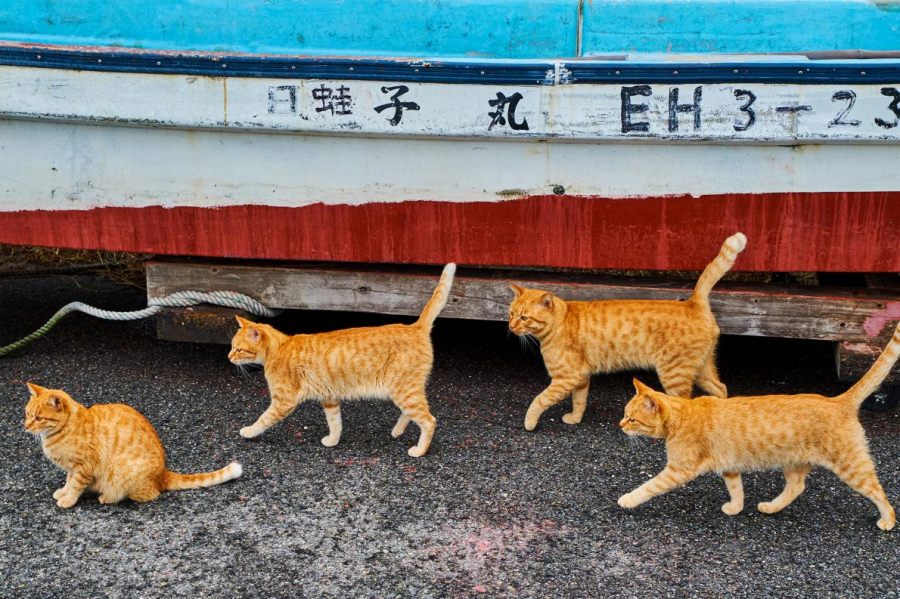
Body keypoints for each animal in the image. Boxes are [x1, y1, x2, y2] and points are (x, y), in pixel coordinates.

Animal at [23, 386, 243, 508]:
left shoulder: (83, 467)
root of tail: (163, 474)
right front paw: (63, 492)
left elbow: (75, 485)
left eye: (38, 418)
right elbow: (68, 481)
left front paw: (68, 500)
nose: (25, 426)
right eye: (27, 413)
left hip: (124, 474)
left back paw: (108, 497)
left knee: (149, 495)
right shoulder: (71, 467)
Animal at [230, 264, 458, 460]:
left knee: (429, 420)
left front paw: (248, 431)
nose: (229, 357)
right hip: (404, 390)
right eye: (232, 346)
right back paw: (397, 431)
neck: (280, 348)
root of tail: (414, 327)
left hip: (404, 389)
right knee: (411, 413)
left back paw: (419, 450)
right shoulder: (329, 398)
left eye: (238, 349)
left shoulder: (283, 401)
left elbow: (263, 419)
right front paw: (333, 440)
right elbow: (335, 422)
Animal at [506, 232, 744, 434]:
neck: (559, 323)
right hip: (701, 369)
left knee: (684, 402)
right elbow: (579, 400)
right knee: (721, 388)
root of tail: (693, 303)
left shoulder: (566, 377)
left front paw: (529, 422)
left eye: (524, 318)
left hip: (674, 374)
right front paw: (575, 418)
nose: (510, 327)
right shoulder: (580, 377)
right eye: (511, 313)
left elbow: (539, 400)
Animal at [620, 326, 900, 532]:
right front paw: (735, 508)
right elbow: (736, 489)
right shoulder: (729, 465)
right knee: (796, 487)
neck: (683, 414)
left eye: (632, 419)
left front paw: (627, 500)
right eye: (625, 415)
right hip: (794, 463)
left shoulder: (677, 470)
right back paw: (771, 507)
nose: (620, 425)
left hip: (851, 466)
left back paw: (888, 520)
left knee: (879, 491)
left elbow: (648, 486)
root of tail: (837, 400)